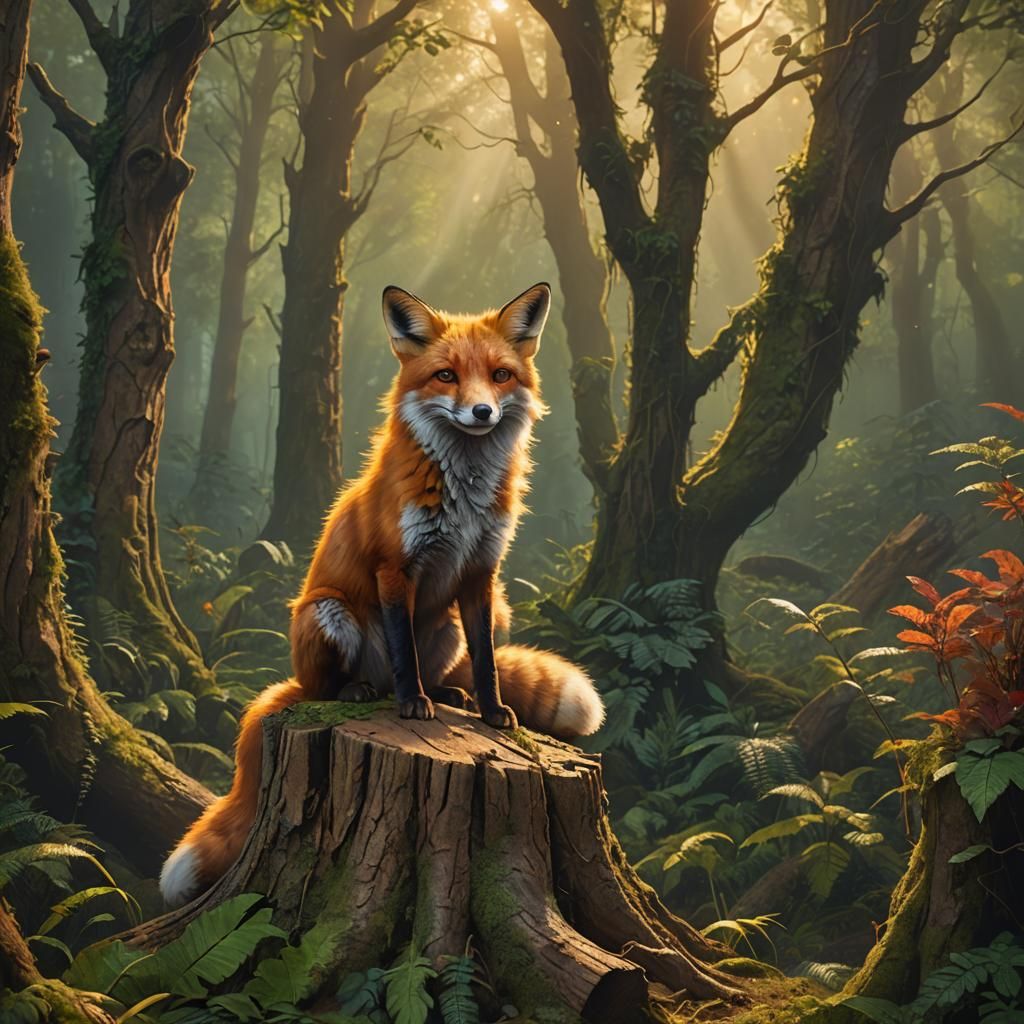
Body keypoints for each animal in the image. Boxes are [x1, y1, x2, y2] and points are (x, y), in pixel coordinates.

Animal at [159, 282, 604, 907]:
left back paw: (448, 696)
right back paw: (361, 692)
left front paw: (490, 711)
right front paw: (412, 704)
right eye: (445, 376)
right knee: (333, 685)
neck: (463, 496)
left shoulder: (481, 575)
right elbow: (401, 651)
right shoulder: (396, 570)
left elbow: (488, 662)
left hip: (463, 621)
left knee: (449, 665)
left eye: (499, 375)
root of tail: (294, 681)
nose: (482, 412)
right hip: (327, 612)